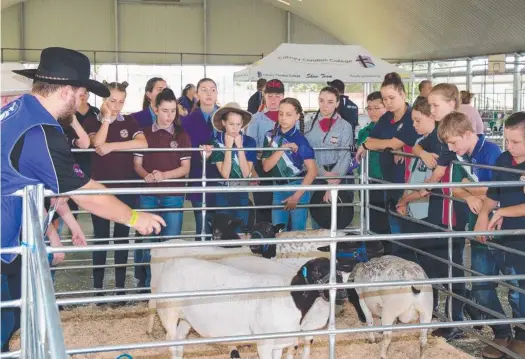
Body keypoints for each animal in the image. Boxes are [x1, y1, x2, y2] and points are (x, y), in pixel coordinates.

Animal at [154, 258, 346, 358]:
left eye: (337, 271)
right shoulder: (264, 342)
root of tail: (170, 264)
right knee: (171, 341)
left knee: (179, 342)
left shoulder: (279, 342)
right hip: (168, 312)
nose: (343, 293)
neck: (292, 298)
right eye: (316, 272)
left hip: (186, 318)